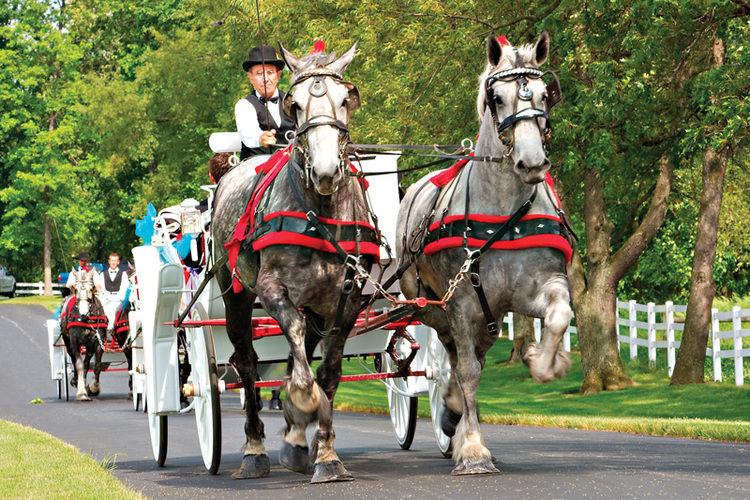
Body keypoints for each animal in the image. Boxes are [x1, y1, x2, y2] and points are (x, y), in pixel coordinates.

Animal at [212, 44, 370, 484]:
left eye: (346, 99)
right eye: (294, 104)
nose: (326, 171)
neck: (322, 214)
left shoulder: (347, 300)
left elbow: (329, 371)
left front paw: (325, 453)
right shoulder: (270, 287)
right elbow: (295, 343)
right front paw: (301, 397)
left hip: (316, 303)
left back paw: (297, 438)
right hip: (234, 296)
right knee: (248, 361)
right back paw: (255, 449)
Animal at [396, 33, 572, 474]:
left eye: (544, 95)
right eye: (496, 98)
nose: (532, 161)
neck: (502, 214)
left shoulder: (539, 287)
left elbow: (559, 316)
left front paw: (545, 362)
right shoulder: (460, 300)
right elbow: (470, 373)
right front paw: (474, 448)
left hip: (489, 316)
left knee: (468, 354)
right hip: (432, 306)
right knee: (454, 357)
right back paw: (454, 411)